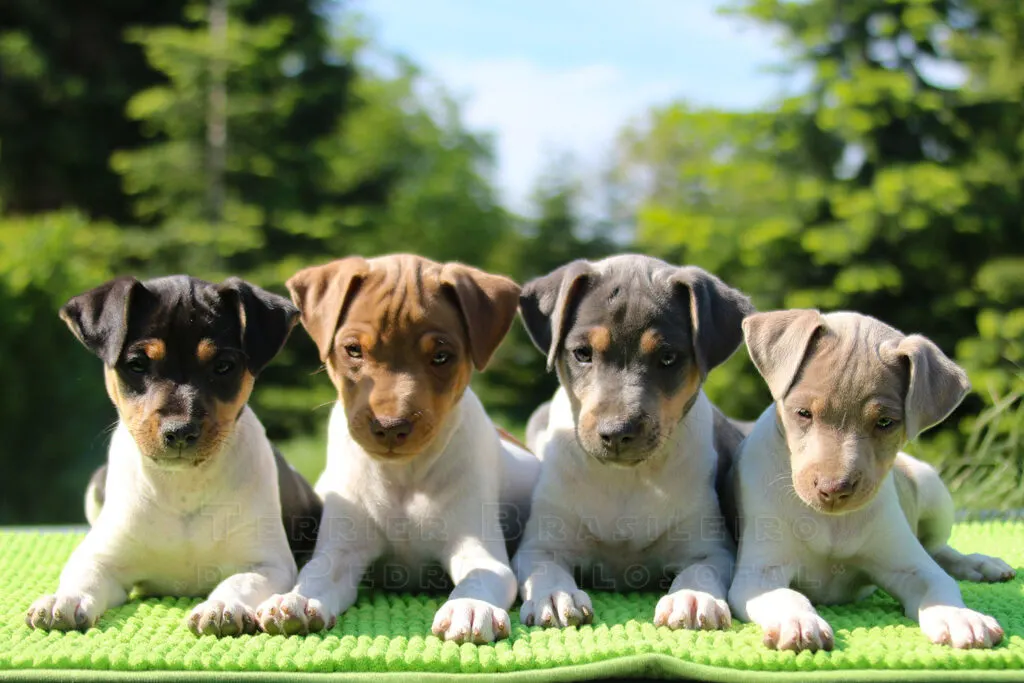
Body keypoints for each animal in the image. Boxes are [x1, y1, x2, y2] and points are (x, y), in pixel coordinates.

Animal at [25, 276, 319, 634]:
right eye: (137, 365)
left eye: (223, 367)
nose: (180, 431)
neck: (183, 486)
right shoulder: (100, 558)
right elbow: (84, 576)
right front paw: (64, 600)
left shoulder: (268, 564)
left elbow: (238, 582)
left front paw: (222, 607)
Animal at [256, 253, 540, 643]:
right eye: (353, 350)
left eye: (441, 356)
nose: (390, 427)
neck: (404, 475)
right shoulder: (343, 550)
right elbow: (316, 574)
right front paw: (299, 600)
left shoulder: (477, 548)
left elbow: (481, 576)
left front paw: (469, 606)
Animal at [512, 254, 753, 630]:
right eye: (582, 353)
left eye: (668, 357)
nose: (617, 432)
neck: (626, 478)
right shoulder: (540, 543)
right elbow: (544, 568)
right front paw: (555, 596)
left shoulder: (711, 548)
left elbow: (700, 571)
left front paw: (692, 598)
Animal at [729, 309, 1015, 651]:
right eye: (803, 413)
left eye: (885, 422)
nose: (834, 490)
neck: (832, 524)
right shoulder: (758, 574)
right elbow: (786, 596)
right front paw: (798, 622)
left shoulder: (911, 567)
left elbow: (940, 584)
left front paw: (959, 617)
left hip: (934, 492)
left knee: (939, 550)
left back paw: (981, 564)